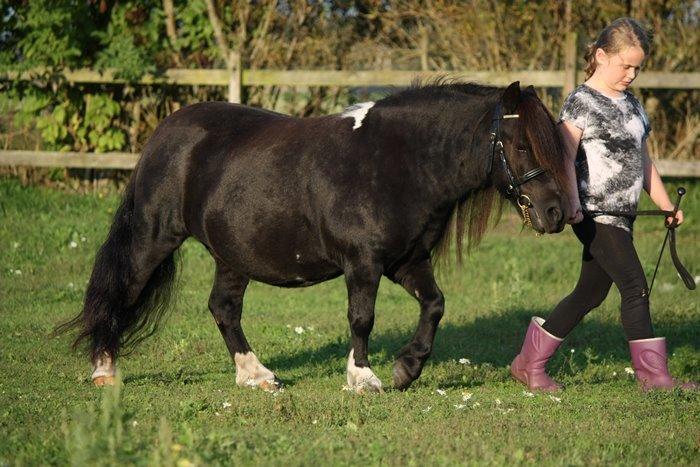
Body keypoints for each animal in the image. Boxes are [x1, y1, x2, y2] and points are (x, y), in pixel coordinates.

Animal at [60, 82, 572, 394]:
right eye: (521, 145)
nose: (555, 213)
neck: (397, 163)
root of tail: (166, 132)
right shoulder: (363, 262)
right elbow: (362, 318)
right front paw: (363, 377)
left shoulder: (407, 261)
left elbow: (435, 305)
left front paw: (407, 369)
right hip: (154, 236)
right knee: (123, 290)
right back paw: (105, 369)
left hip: (231, 256)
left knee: (224, 309)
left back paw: (256, 375)